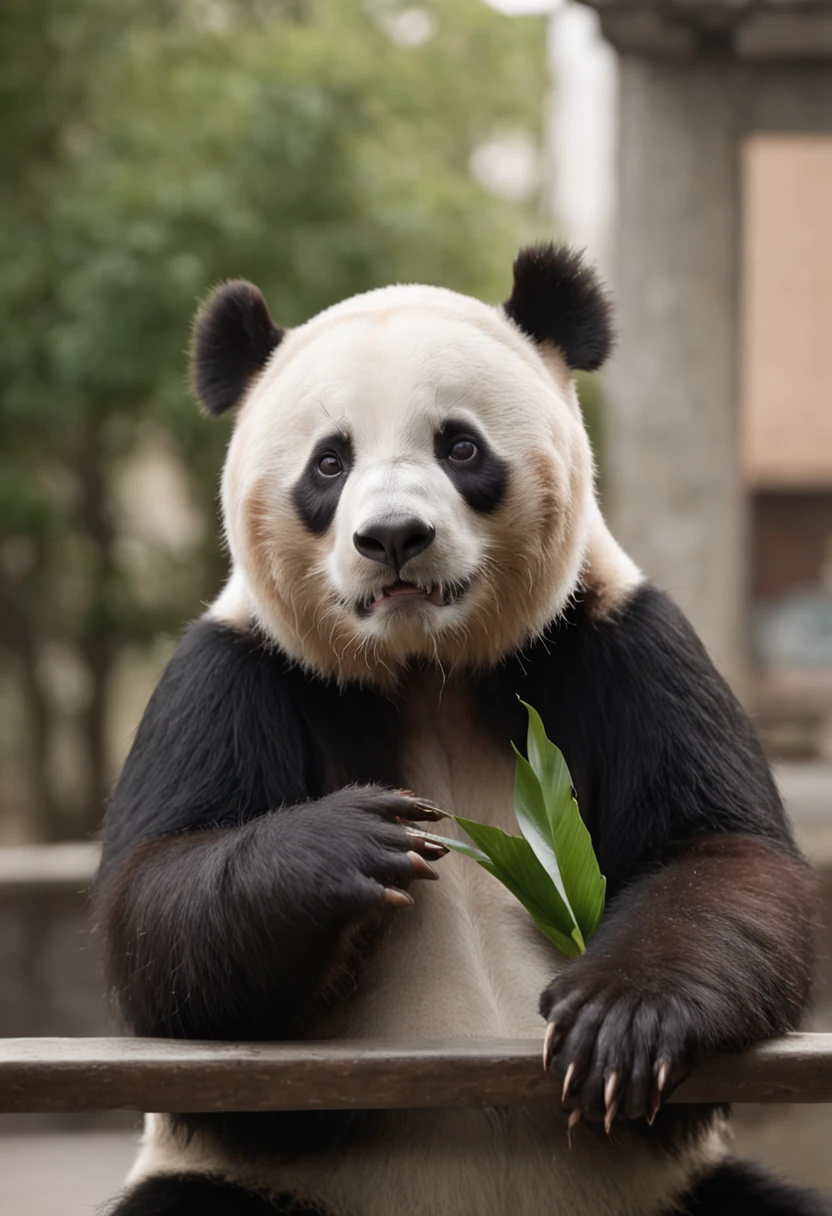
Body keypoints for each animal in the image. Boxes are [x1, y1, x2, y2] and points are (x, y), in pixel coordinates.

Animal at [96, 241, 827, 1211]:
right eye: (329, 463)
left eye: (460, 445)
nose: (393, 538)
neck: (427, 670)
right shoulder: (231, 676)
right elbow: (157, 914)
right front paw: (355, 842)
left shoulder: (620, 643)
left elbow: (720, 853)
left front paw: (620, 1022)